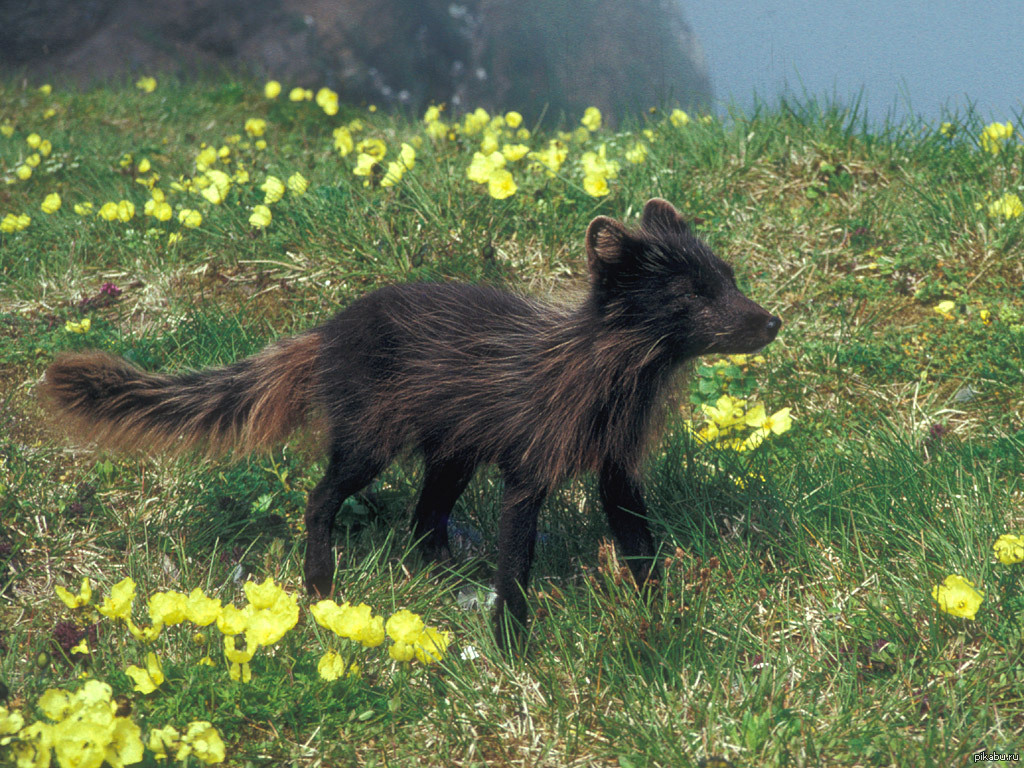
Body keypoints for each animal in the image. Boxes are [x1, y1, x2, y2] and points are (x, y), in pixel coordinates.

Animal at [36, 198, 778, 651]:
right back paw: (321, 586)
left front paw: (661, 610)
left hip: (452, 452)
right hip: (371, 441)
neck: (606, 380)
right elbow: (518, 561)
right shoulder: (528, 470)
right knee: (322, 498)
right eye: (692, 295)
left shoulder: (618, 468)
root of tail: (327, 331)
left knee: (423, 522)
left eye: (729, 276)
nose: (772, 322)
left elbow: (639, 542)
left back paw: (445, 577)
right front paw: (513, 644)